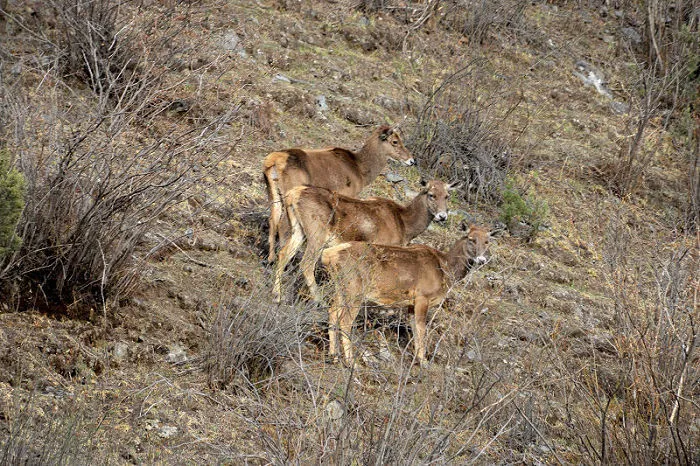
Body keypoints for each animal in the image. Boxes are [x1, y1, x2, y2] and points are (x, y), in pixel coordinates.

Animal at [262, 125, 416, 264]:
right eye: (395, 141)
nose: (411, 160)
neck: (360, 171)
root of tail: (273, 160)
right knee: (283, 224)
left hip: (273, 192)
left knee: (273, 218)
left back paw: (270, 258)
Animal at [274, 178, 460, 302]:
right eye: (431, 194)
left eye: (447, 195)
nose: (442, 216)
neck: (405, 225)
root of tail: (292, 195)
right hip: (317, 232)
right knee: (306, 263)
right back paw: (318, 299)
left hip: (298, 229)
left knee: (283, 253)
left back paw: (277, 295)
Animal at [320, 224, 490, 366]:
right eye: (471, 239)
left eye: (487, 241)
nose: (481, 260)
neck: (445, 270)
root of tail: (328, 255)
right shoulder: (422, 296)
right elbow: (421, 329)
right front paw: (423, 362)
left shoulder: (411, 302)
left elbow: (414, 327)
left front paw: (417, 358)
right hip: (354, 289)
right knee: (345, 321)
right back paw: (351, 363)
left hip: (340, 288)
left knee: (332, 313)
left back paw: (334, 356)